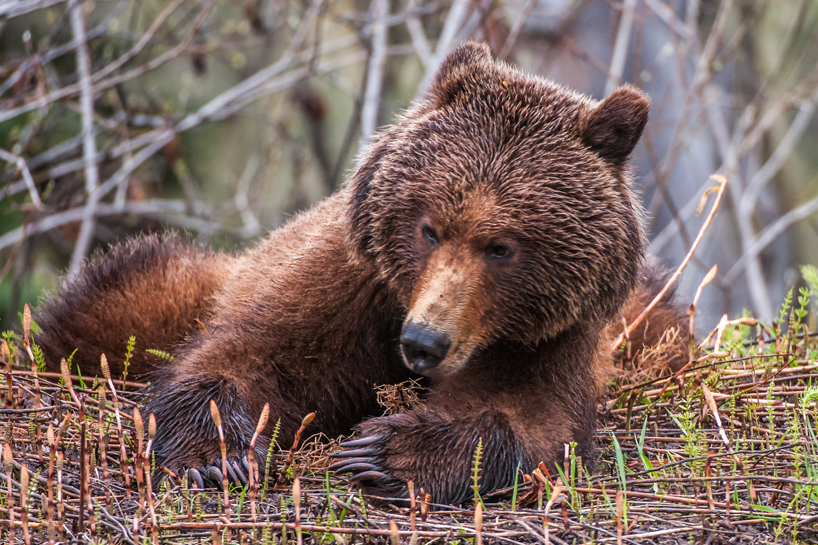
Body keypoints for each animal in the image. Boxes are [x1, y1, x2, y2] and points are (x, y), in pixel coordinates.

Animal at [33, 42, 687, 505]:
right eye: (429, 228)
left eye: (501, 247)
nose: (423, 343)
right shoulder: (344, 290)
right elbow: (244, 359)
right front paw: (217, 454)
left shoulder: (545, 338)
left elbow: (528, 420)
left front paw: (386, 453)